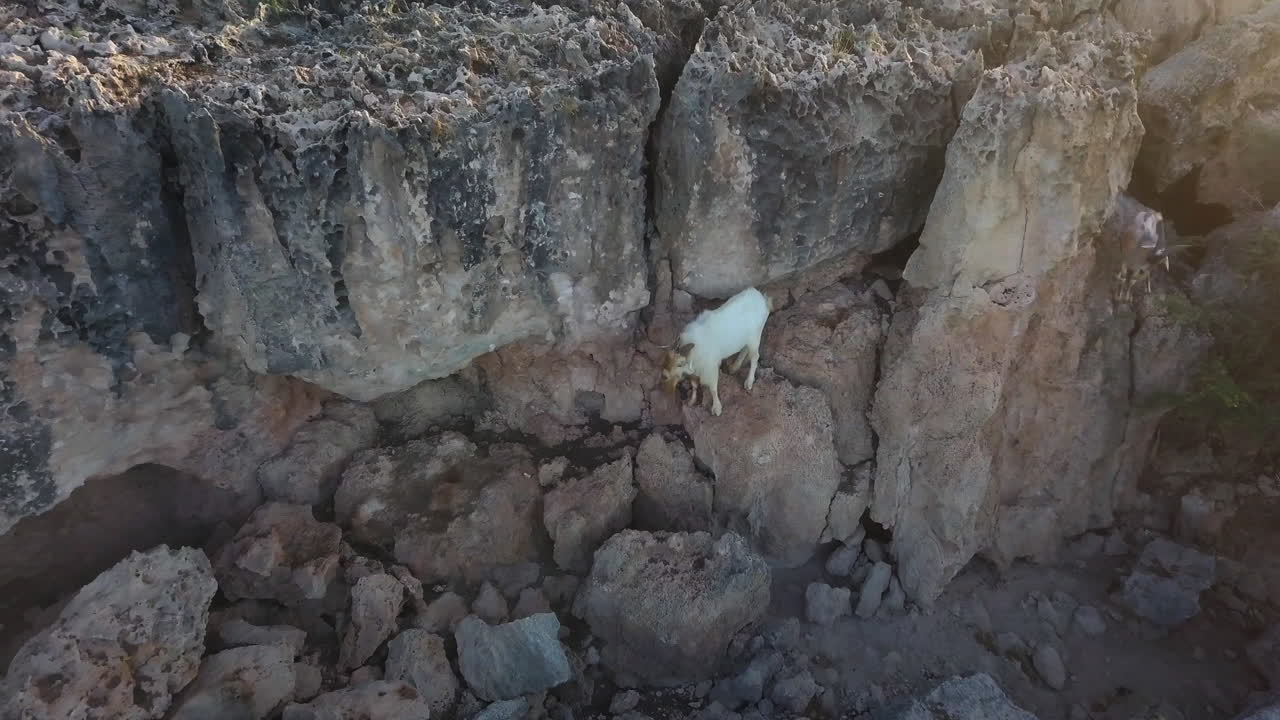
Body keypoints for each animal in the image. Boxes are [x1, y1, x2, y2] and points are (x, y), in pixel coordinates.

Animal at [660, 287, 773, 417]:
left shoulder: (710, 368)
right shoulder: (696, 369)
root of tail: (763, 300)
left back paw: (748, 382)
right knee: (746, 349)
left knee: (755, 356)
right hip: (748, 338)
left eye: (679, 364)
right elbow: (694, 384)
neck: (694, 349)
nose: (664, 387)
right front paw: (692, 401)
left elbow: (713, 388)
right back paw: (734, 367)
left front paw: (716, 408)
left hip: (755, 336)